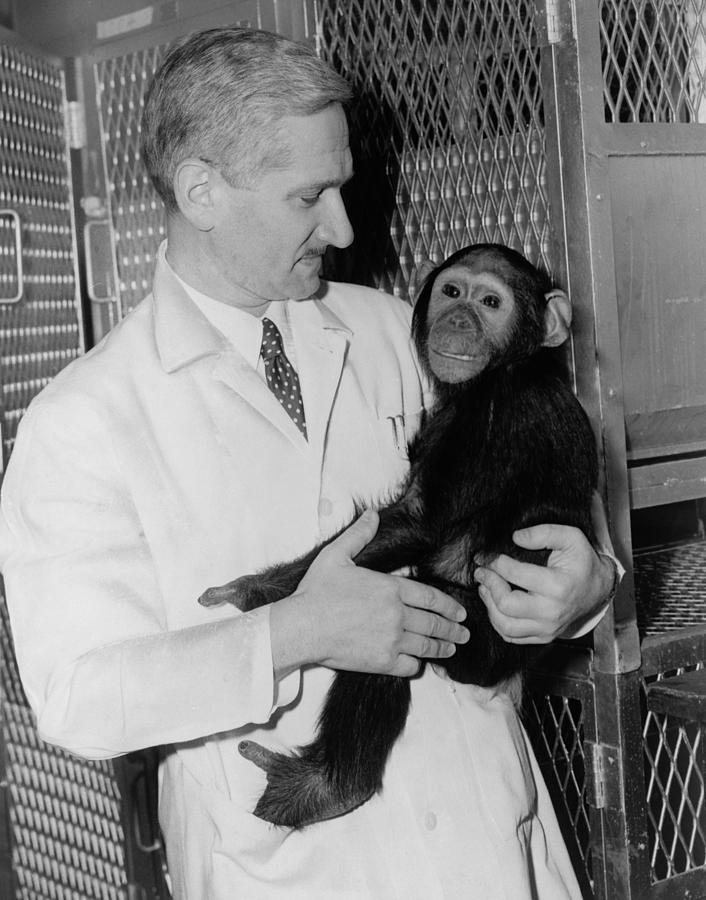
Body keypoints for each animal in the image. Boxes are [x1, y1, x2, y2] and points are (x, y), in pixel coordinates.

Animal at [201, 241, 596, 828]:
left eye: (491, 301)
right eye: (453, 291)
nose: (459, 319)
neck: (507, 370)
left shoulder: (496, 415)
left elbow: (417, 519)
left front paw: (248, 592)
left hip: (476, 642)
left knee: (400, 622)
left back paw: (329, 786)